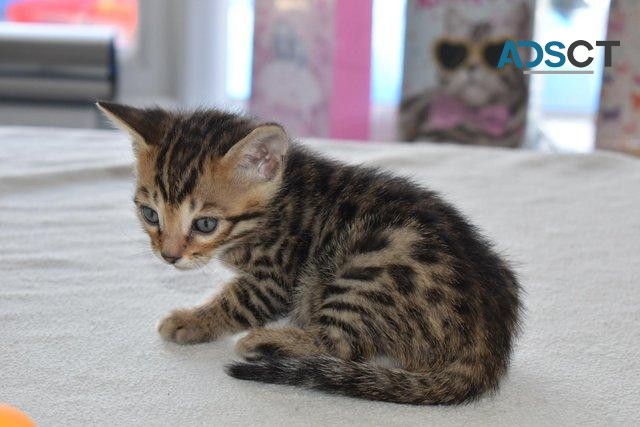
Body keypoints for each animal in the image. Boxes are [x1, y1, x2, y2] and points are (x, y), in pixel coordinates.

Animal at [99, 103, 520, 404]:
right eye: (150, 214)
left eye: (204, 224)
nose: (169, 256)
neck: (280, 198)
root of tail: (490, 345)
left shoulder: (277, 277)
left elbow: (237, 302)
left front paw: (191, 321)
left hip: (372, 263)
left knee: (343, 345)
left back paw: (265, 342)